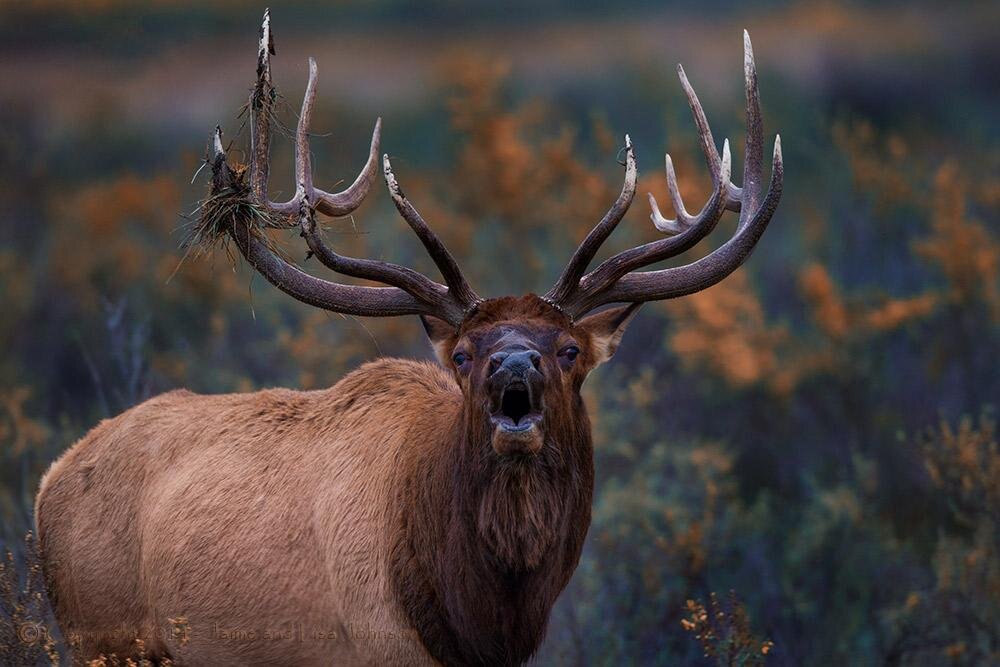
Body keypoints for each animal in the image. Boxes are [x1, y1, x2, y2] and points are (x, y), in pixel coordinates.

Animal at [35, 11, 780, 667]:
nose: (514, 365)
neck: (474, 623)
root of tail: (48, 482)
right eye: (463, 355)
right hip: (101, 636)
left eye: (570, 349)